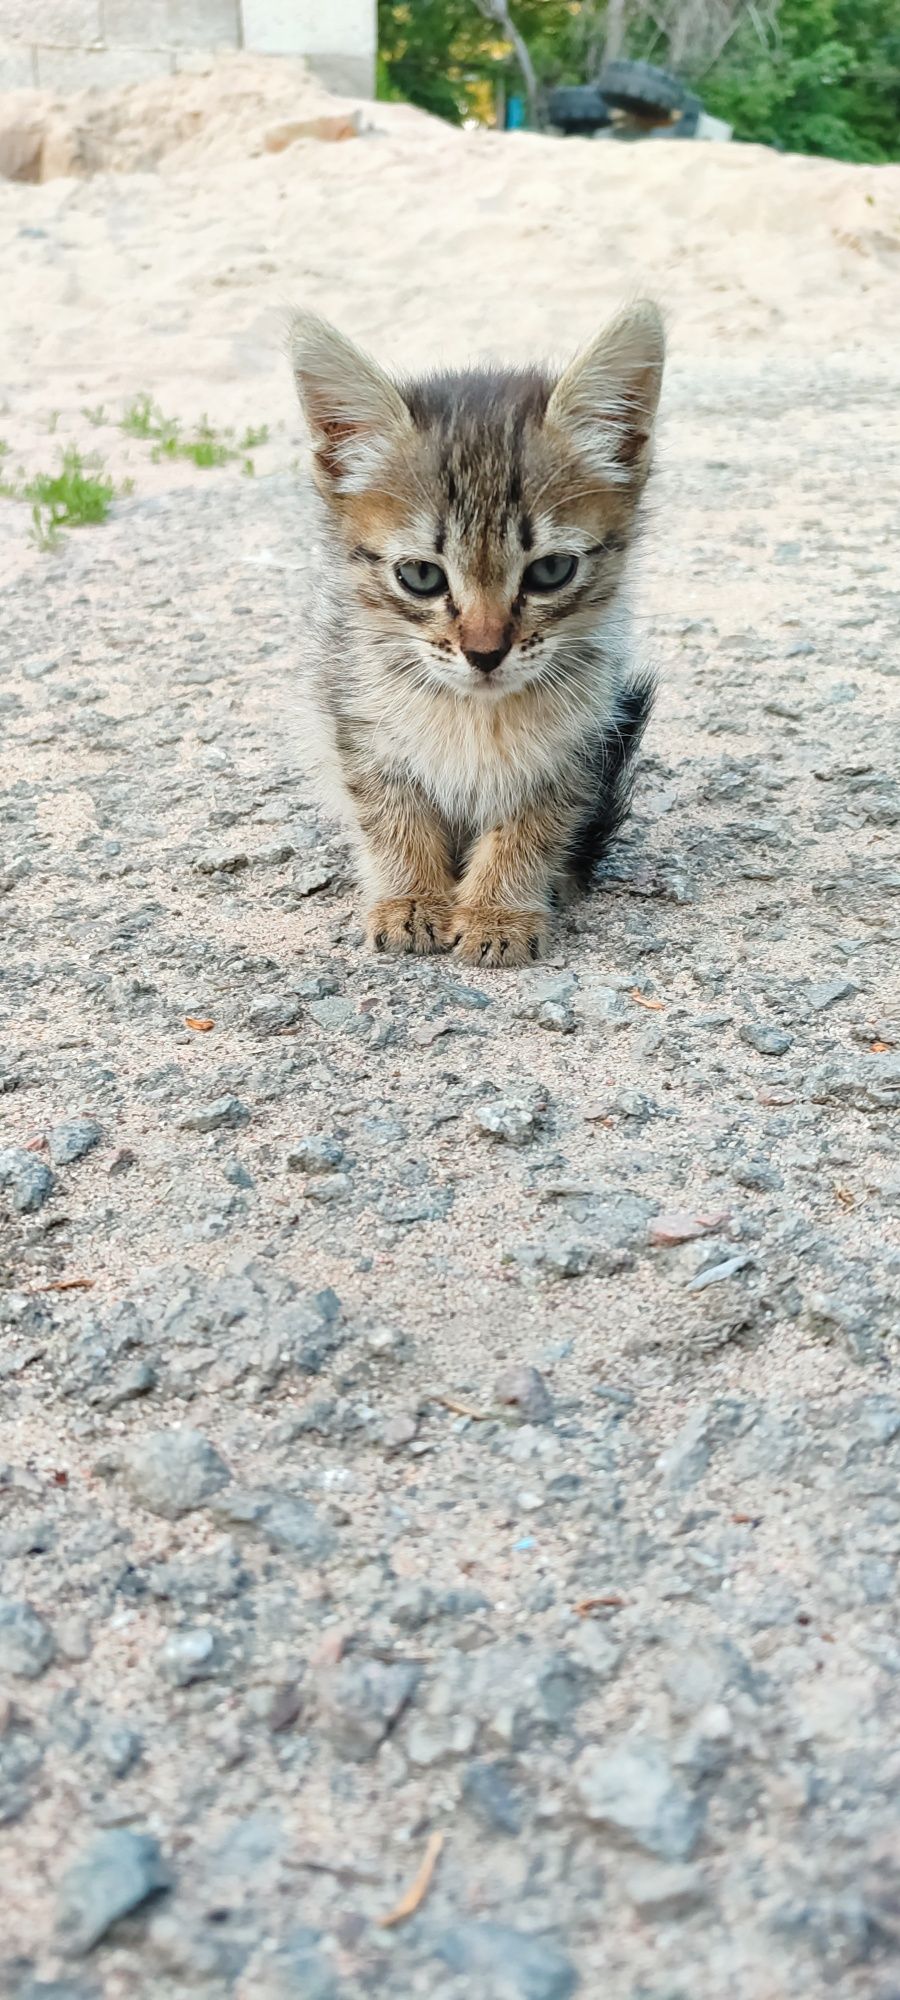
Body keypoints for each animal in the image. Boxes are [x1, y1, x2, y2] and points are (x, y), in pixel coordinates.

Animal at [292, 298, 664, 976]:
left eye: (551, 571)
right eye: (420, 576)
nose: (485, 653)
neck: (476, 714)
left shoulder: (577, 745)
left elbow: (531, 829)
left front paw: (500, 912)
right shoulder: (356, 720)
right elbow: (390, 816)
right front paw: (411, 899)